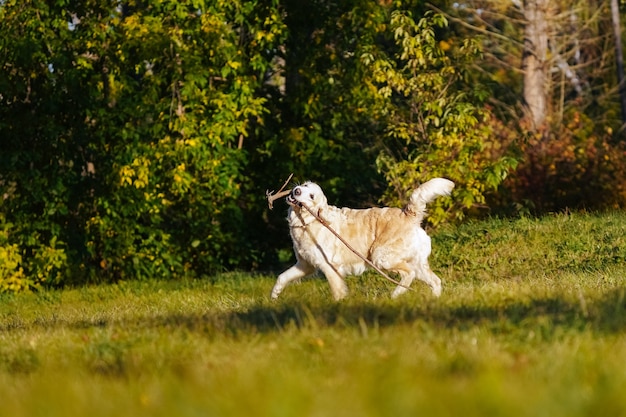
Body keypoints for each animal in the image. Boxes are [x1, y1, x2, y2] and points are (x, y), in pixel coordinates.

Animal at [270, 178, 454, 300]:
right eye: (305, 186)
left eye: (312, 196)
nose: (297, 191)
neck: (309, 221)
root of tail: (408, 214)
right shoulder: (305, 264)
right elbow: (282, 277)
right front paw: (274, 295)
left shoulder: (329, 266)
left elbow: (337, 291)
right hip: (416, 263)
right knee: (435, 280)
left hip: (381, 256)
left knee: (409, 274)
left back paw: (395, 294)